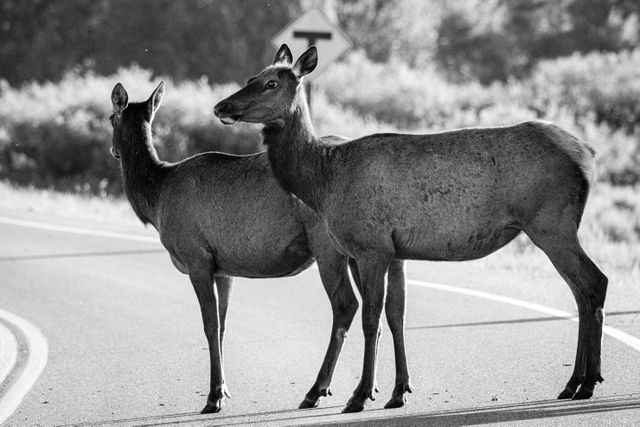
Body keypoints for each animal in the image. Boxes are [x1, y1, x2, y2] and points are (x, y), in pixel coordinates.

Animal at [107, 81, 402, 414]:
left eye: (110, 118)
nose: (113, 150)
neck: (156, 198)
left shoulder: (196, 257)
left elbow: (209, 325)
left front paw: (213, 396)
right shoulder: (222, 267)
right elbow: (222, 325)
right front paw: (223, 388)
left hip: (327, 245)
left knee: (346, 305)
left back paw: (318, 390)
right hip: (358, 250)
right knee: (376, 309)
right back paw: (378, 389)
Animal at [215, 44, 608, 414]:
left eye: (271, 83)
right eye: (252, 76)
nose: (221, 106)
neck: (322, 182)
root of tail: (588, 155)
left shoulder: (370, 246)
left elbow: (371, 318)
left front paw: (360, 395)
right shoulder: (395, 252)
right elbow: (396, 315)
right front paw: (399, 391)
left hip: (550, 222)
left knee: (594, 282)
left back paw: (586, 382)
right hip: (555, 226)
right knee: (582, 289)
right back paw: (575, 382)